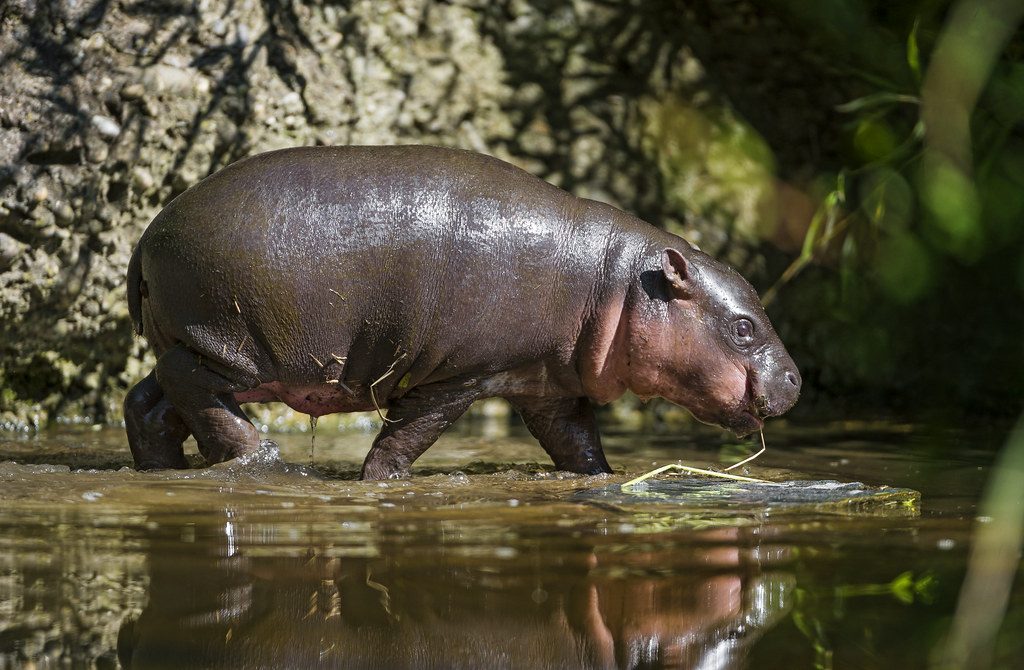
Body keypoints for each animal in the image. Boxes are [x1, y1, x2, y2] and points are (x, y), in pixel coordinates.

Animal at [124, 145, 800, 479]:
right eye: (743, 327)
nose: (796, 379)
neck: (618, 282)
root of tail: (148, 233)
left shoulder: (548, 385)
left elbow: (578, 445)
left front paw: (603, 481)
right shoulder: (459, 375)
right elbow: (406, 436)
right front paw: (380, 482)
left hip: (195, 340)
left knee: (150, 401)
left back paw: (162, 468)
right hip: (233, 345)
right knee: (190, 389)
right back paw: (259, 458)